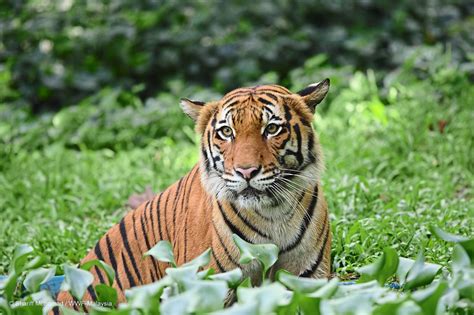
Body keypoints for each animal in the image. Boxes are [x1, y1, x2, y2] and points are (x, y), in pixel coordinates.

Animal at [54, 79, 330, 314]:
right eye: (226, 132)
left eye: (272, 128)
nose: (246, 171)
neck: (273, 212)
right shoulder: (207, 285)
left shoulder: (309, 282)